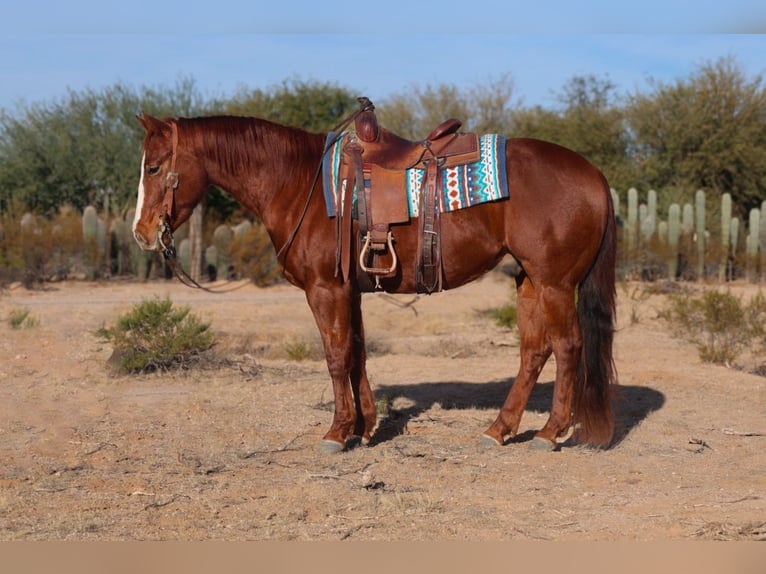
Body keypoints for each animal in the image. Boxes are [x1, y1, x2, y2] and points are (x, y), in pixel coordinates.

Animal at [132, 103, 620, 454]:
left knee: (568, 347)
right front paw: (365, 428)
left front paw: (336, 432)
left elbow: (335, 357)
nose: (141, 232)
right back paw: (499, 429)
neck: (298, 183)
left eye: (153, 168)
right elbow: (357, 354)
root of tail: (595, 175)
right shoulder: (351, 291)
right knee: (534, 351)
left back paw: (549, 433)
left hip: (556, 284)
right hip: (530, 281)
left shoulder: (325, 290)